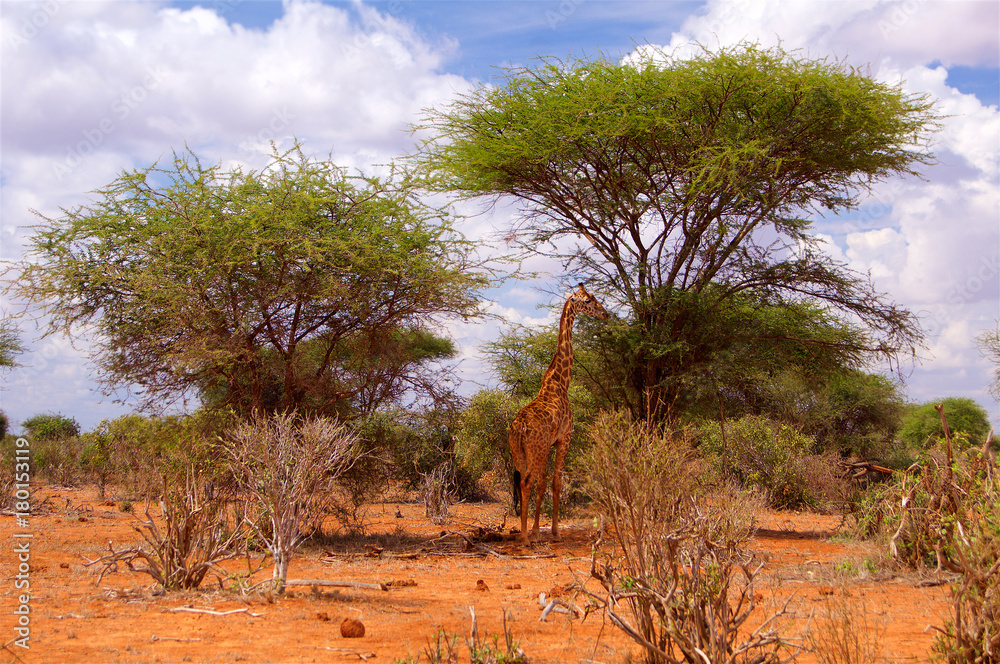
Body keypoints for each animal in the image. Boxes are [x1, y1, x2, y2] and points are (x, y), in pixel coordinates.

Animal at [512, 282, 604, 544]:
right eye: (588, 300)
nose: (605, 313)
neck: (561, 381)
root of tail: (520, 427)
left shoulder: (549, 445)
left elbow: (543, 484)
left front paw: (536, 530)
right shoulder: (564, 439)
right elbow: (556, 483)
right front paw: (553, 532)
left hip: (521, 453)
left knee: (522, 482)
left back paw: (524, 533)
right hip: (536, 450)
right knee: (527, 482)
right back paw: (524, 538)